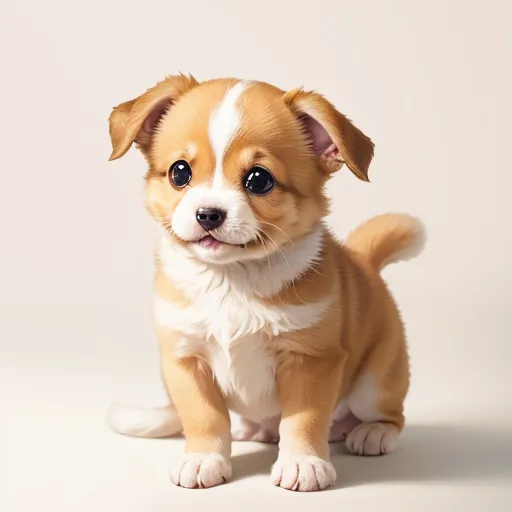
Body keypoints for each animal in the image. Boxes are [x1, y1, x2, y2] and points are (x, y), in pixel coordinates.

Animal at [106, 74, 426, 490]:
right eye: (179, 172)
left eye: (259, 180)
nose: (208, 213)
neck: (231, 279)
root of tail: (365, 262)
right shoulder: (186, 361)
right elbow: (203, 417)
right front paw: (203, 458)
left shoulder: (312, 360)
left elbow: (303, 419)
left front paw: (302, 463)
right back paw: (252, 429)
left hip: (374, 382)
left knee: (389, 413)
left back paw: (371, 433)